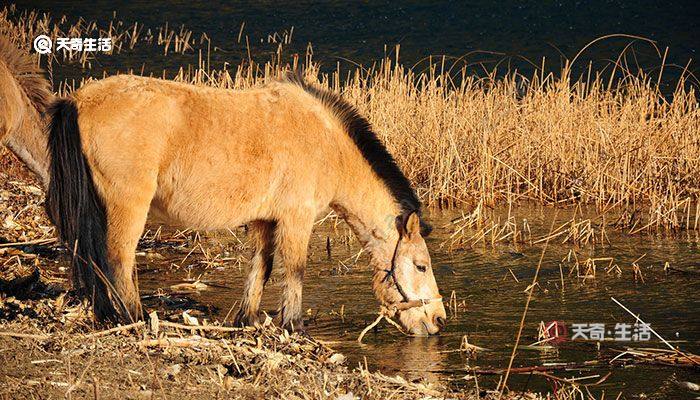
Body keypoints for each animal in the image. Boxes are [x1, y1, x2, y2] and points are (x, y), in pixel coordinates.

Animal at [0, 37, 446, 336]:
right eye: (421, 266)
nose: (438, 319)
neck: (325, 141)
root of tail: (79, 100)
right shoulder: (297, 220)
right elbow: (295, 271)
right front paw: (294, 327)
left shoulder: (266, 220)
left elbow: (260, 269)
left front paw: (247, 320)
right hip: (127, 207)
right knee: (117, 260)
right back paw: (133, 318)